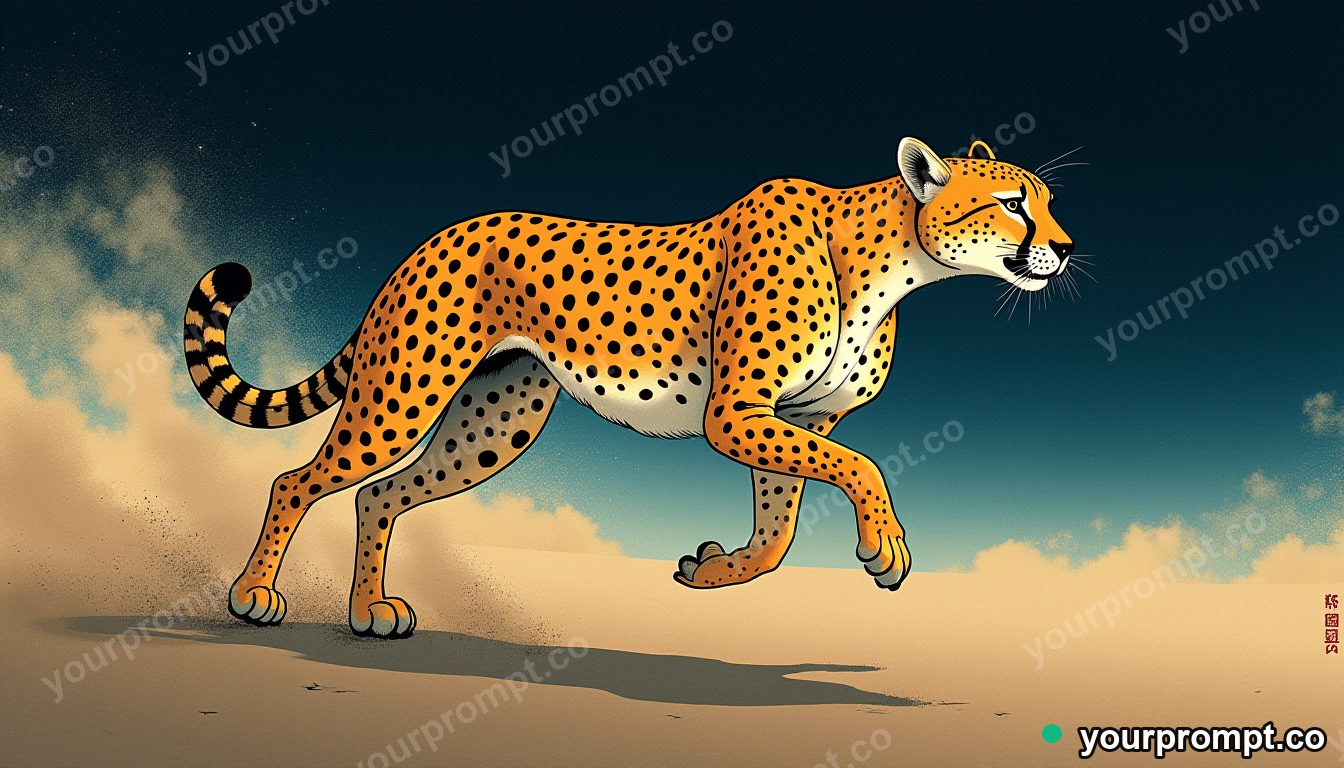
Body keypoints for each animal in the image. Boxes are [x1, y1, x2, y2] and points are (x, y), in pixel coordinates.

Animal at [184, 137, 1075, 637]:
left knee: (380, 494)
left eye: (1048, 200)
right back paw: (253, 595)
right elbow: (866, 468)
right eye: (1010, 203)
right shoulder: (736, 413)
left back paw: (369, 612)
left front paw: (715, 569)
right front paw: (884, 548)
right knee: (297, 480)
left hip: (495, 420)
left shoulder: (800, 418)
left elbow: (783, 524)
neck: (895, 263)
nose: (1065, 249)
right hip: (405, 391)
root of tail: (434, 236)